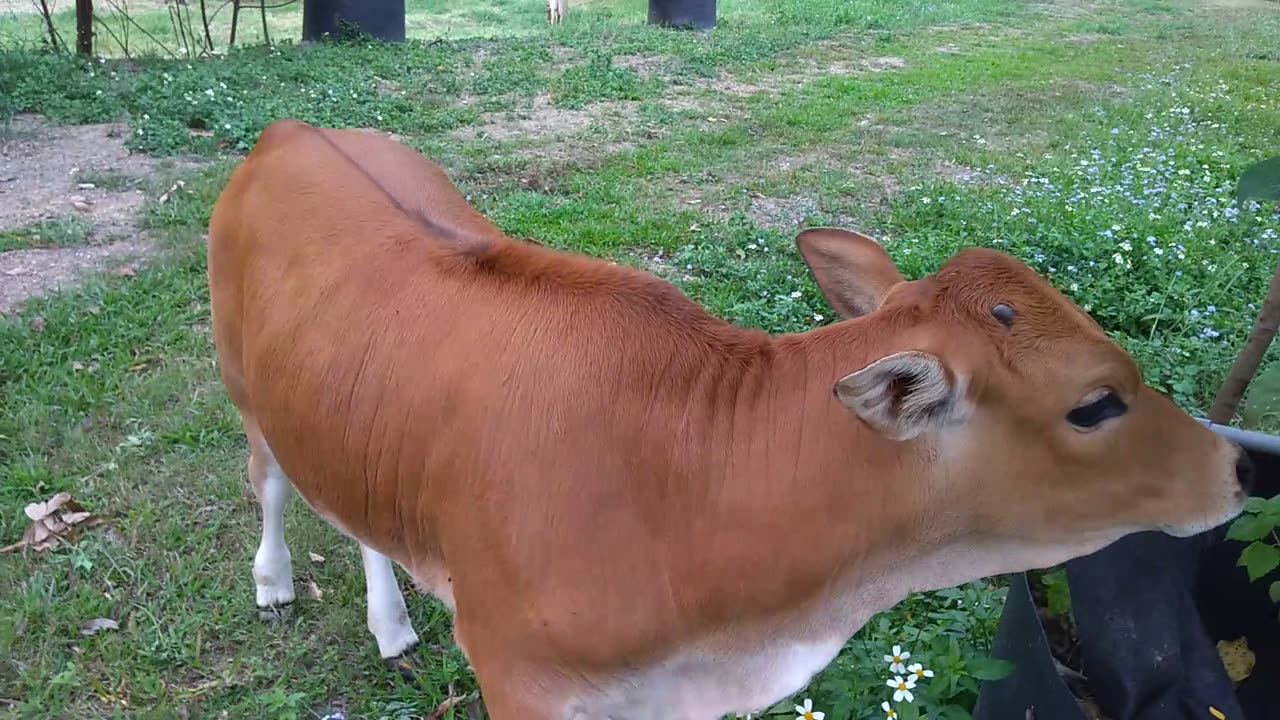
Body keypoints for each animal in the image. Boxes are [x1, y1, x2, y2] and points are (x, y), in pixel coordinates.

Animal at [207, 119, 1249, 717]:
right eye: (1096, 403)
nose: (1236, 466)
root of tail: (292, 128)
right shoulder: (519, 678)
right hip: (241, 380)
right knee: (269, 480)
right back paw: (273, 580)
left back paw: (389, 621)